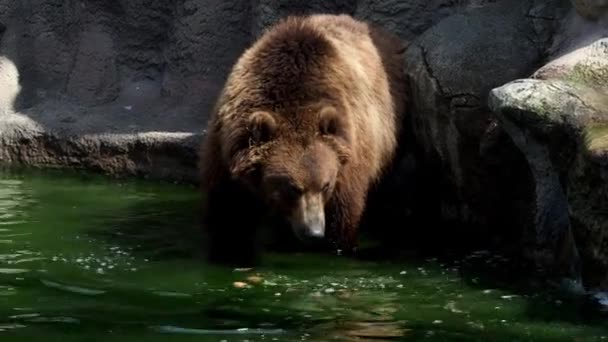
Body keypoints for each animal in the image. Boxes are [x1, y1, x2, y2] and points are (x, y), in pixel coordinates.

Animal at [201, 14, 408, 264]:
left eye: (325, 185)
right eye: (292, 188)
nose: (314, 232)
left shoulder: (350, 154)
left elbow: (343, 216)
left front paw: (337, 245)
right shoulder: (226, 148)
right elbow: (227, 214)